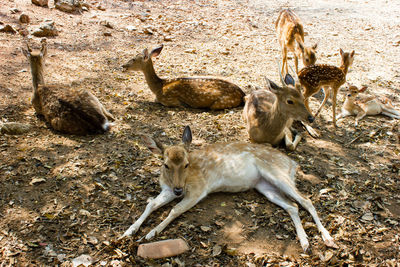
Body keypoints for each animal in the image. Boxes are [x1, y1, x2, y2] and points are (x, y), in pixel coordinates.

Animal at [121, 127, 338, 253]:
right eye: (165, 164)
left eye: (186, 164)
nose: (178, 190)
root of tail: (293, 164)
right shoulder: (167, 190)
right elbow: (151, 205)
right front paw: (128, 231)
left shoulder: (198, 190)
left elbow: (174, 210)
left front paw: (151, 234)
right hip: (265, 186)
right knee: (292, 205)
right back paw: (305, 243)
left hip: (277, 174)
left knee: (306, 200)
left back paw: (327, 238)